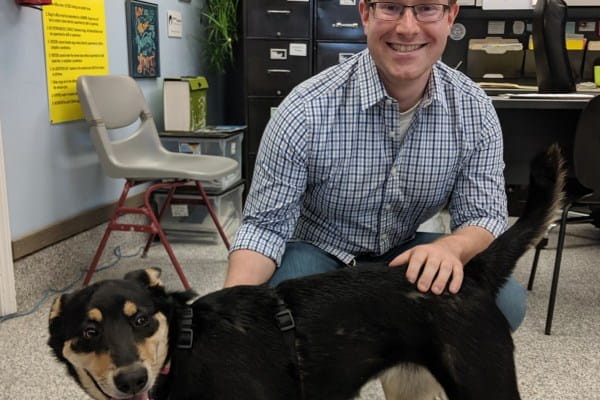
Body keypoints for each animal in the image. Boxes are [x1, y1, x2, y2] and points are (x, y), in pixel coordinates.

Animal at [49, 146, 564, 400]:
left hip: (485, 386)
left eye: (141, 320)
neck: (183, 347)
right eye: (89, 332)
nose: (132, 380)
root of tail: (469, 271)